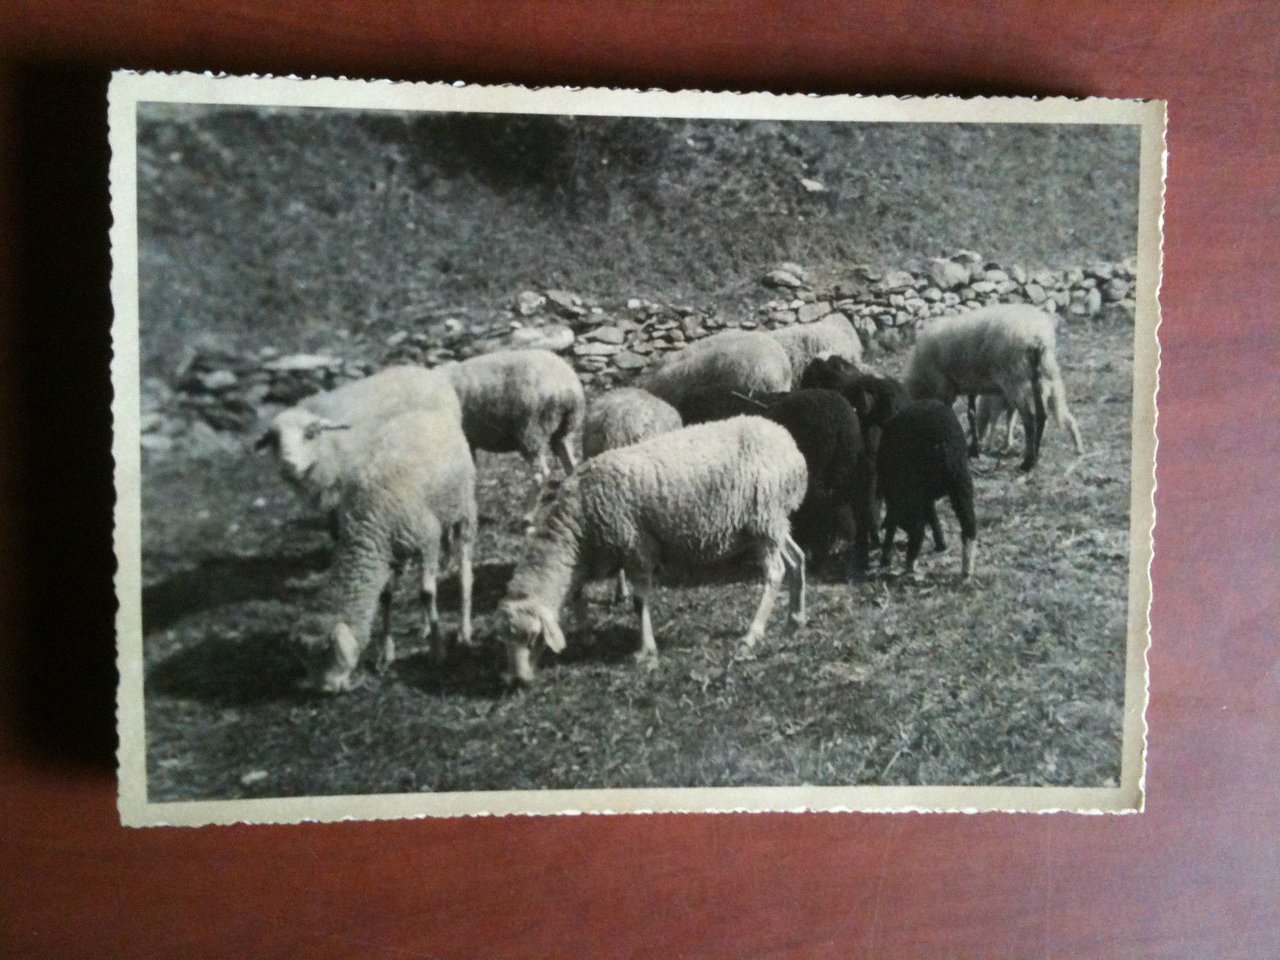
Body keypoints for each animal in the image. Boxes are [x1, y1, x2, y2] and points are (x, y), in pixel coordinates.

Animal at [314, 407, 476, 693]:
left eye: (330, 651)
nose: (325, 688)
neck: (367, 524)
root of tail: (426, 411)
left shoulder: (428, 538)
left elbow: (426, 593)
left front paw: (437, 651)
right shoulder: (389, 553)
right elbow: (386, 597)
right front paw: (385, 654)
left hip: (463, 509)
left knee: (464, 571)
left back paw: (463, 630)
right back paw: (424, 626)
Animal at [440, 349, 585, 525]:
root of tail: (566, 386)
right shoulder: (469, 441)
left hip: (532, 430)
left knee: (540, 475)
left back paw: (528, 517)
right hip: (565, 428)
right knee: (571, 465)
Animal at [494, 416, 808, 684]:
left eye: (532, 638)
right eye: (506, 640)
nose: (517, 681)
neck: (576, 527)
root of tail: (789, 444)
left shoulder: (636, 546)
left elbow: (639, 600)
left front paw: (646, 649)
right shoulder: (594, 558)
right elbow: (578, 595)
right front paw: (585, 633)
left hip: (764, 517)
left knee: (775, 572)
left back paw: (752, 634)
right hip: (772, 523)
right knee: (797, 558)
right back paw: (795, 619)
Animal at [876, 400, 976, 579]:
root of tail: (944, 446)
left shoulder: (899, 490)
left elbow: (895, 518)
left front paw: (885, 558)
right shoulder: (925, 494)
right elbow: (931, 512)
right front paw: (941, 543)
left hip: (916, 483)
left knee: (918, 528)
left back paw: (909, 564)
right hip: (961, 482)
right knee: (969, 524)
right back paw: (966, 569)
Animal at [903, 304, 1076, 472]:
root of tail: (1037, 335)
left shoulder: (944, 387)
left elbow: (950, 416)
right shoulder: (971, 385)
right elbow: (971, 414)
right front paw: (973, 448)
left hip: (1013, 377)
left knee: (1029, 419)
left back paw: (1027, 462)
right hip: (1038, 374)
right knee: (1041, 415)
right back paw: (1035, 457)